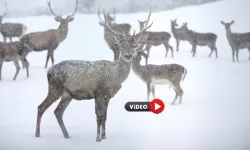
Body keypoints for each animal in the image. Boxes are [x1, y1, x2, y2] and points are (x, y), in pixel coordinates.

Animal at [34, 7, 152, 142]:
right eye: (121, 46)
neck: (115, 77)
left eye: (134, 45)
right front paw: (98, 138)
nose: (128, 56)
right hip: (55, 88)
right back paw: (37, 135)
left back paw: (67, 135)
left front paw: (104, 137)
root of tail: (49, 71)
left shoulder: (107, 96)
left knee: (57, 111)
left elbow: (105, 116)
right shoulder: (98, 92)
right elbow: (98, 117)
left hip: (67, 94)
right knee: (41, 107)